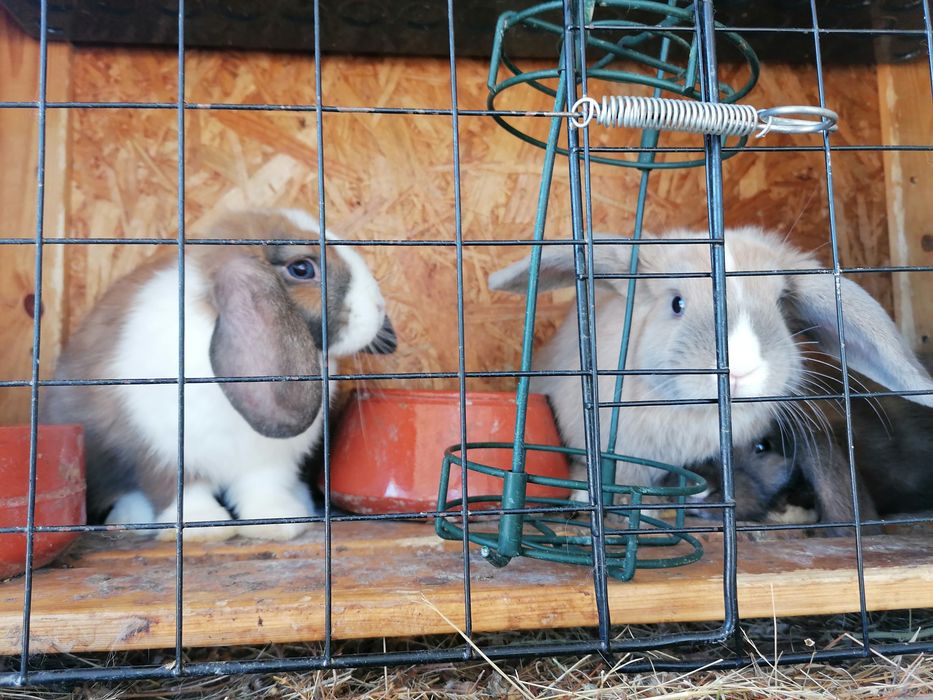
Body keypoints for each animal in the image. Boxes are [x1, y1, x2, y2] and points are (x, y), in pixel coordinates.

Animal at [41, 208, 396, 542]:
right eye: (301, 269)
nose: (379, 307)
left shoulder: (268, 460)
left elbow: (263, 489)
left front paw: (280, 523)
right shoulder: (161, 451)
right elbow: (180, 491)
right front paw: (202, 528)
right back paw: (131, 520)